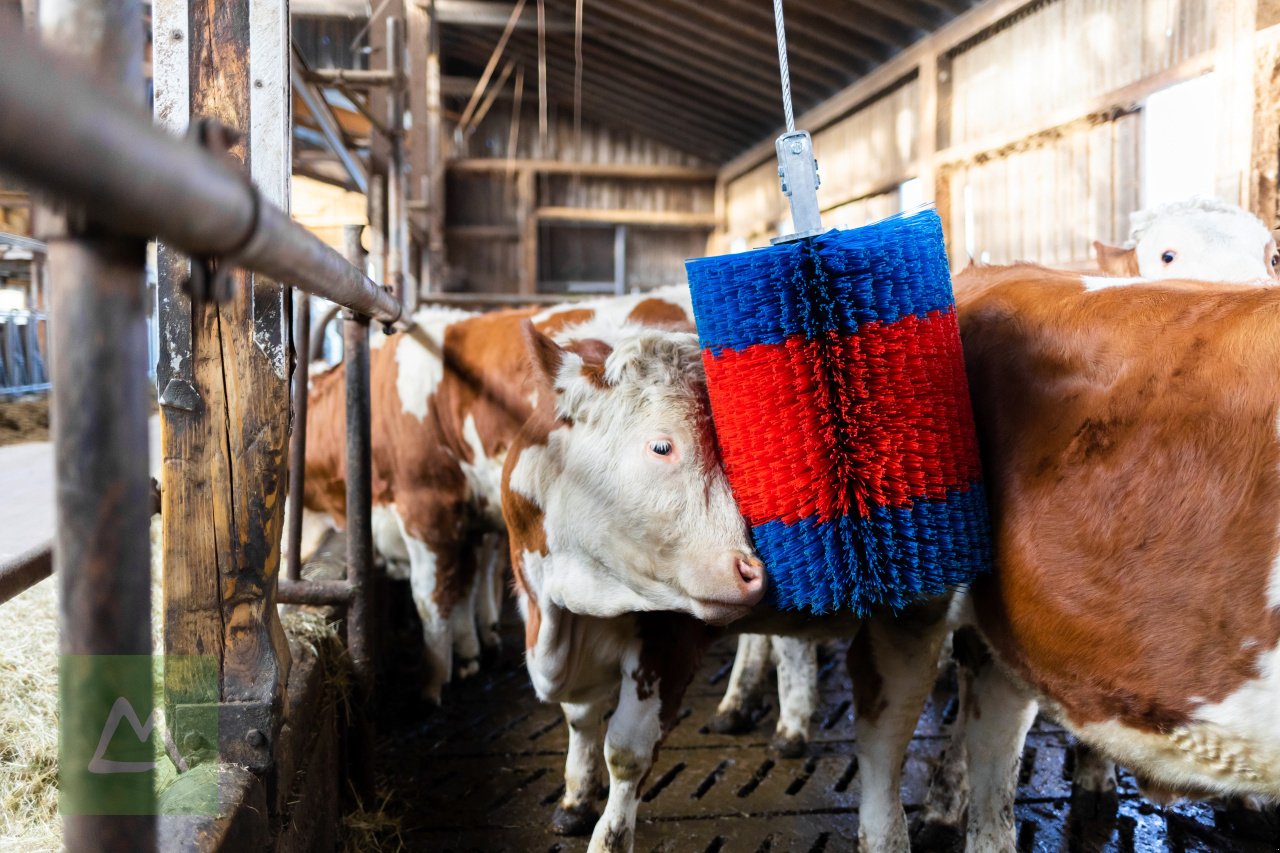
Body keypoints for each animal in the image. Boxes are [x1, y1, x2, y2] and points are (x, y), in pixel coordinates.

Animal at [299, 285, 696, 696]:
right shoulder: (468, 514)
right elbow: (467, 581)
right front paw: (469, 654)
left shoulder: (427, 506)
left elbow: (432, 598)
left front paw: (432, 683)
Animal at [504, 320, 957, 850]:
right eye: (662, 446)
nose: (754, 572)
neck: (564, 608)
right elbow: (579, 718)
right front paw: (575, 800)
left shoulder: (669, 642)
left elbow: (627, 751)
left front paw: (607, 836)